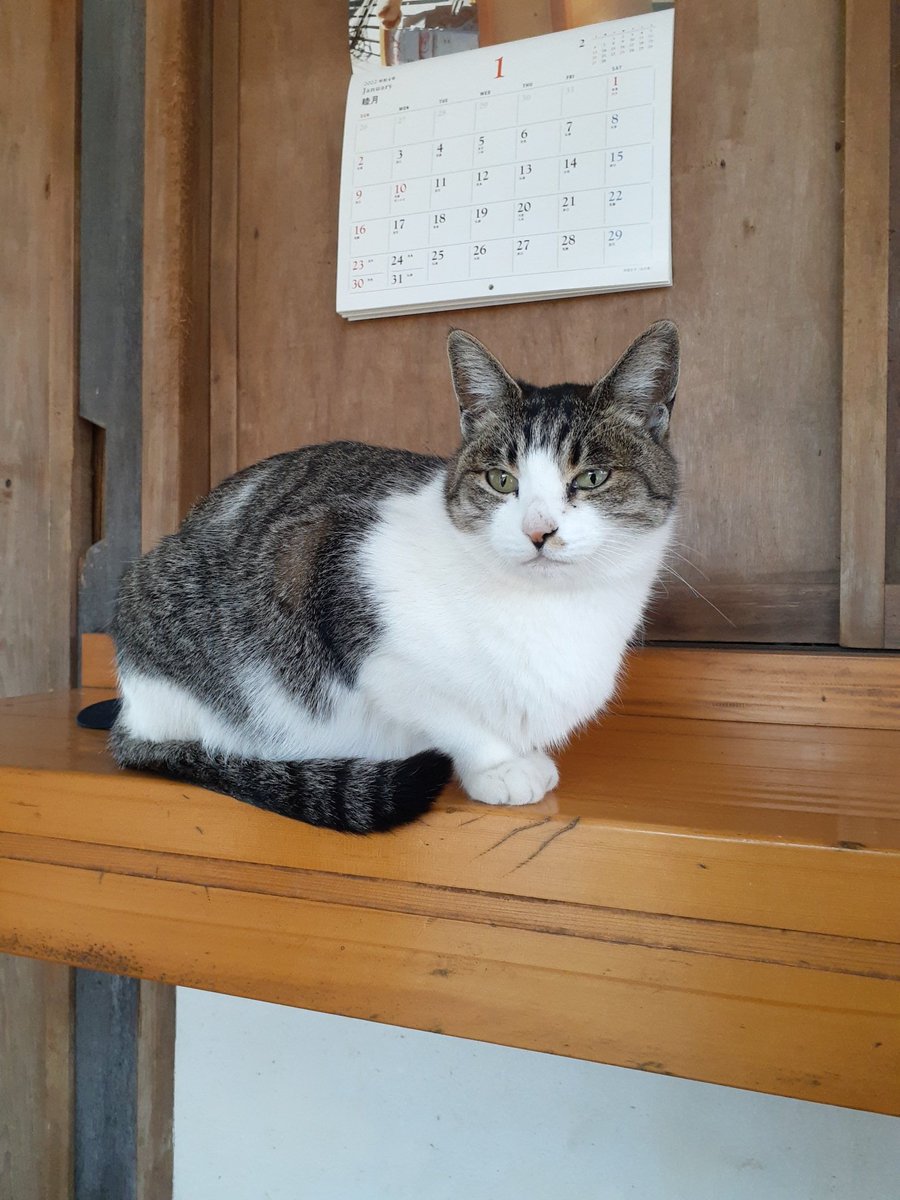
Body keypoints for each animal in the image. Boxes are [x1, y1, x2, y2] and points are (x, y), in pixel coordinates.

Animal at [109, 324, 681, 840]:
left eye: (591, 478)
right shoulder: (333, 567)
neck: (549, 609)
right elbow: (450, 714)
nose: (538, 531)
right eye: (501, 480)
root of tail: (131, 716)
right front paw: (500, 765)